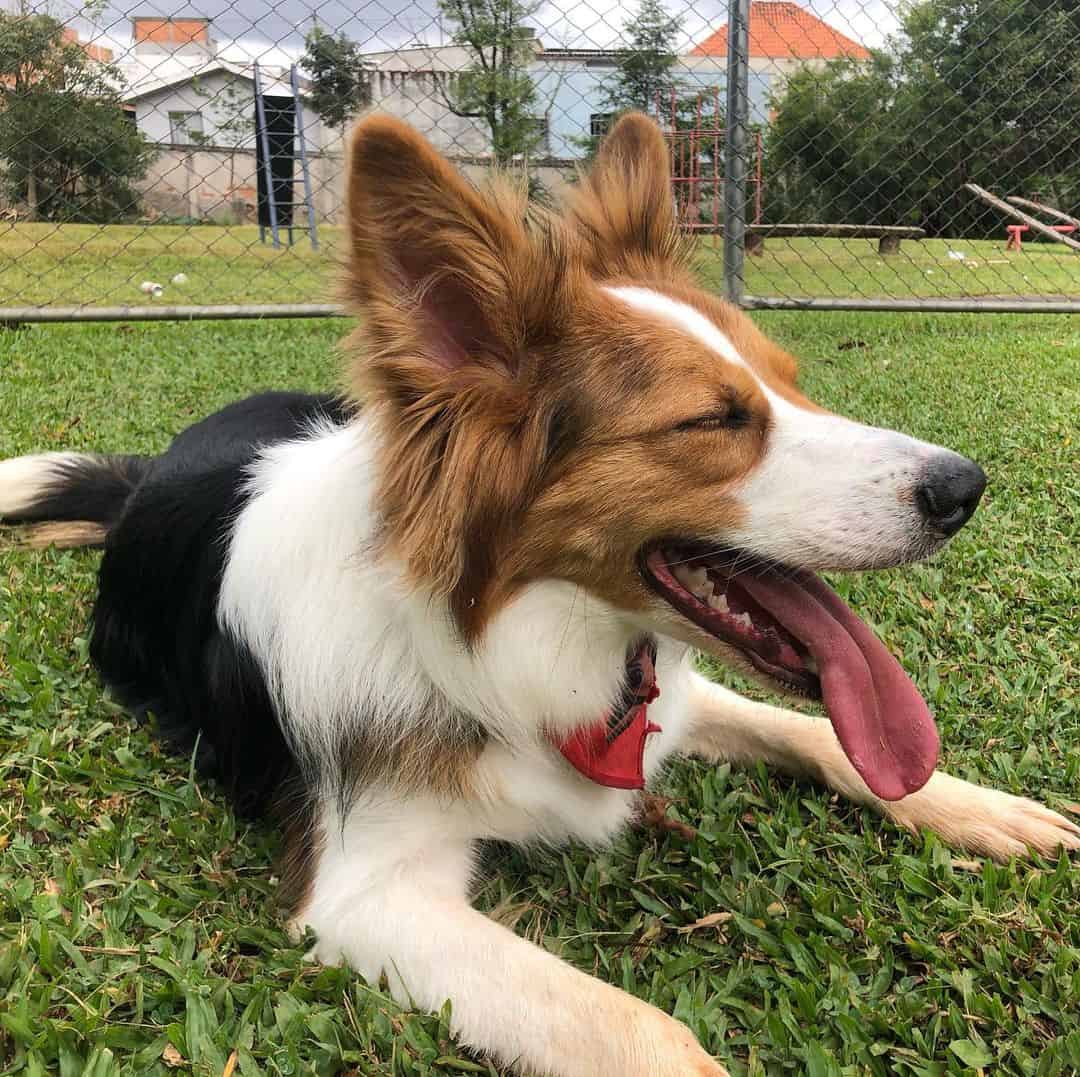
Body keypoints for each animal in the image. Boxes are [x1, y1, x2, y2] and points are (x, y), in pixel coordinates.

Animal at [4, 113, 1075, 1071]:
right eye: (712, 419)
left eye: (791, 383)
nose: (964, 488)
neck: (505, 643)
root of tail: (156, 471)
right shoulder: (366, 893)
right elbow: (646, 1031)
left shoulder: (679, 701)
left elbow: (819, 735)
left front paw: (978, 807)